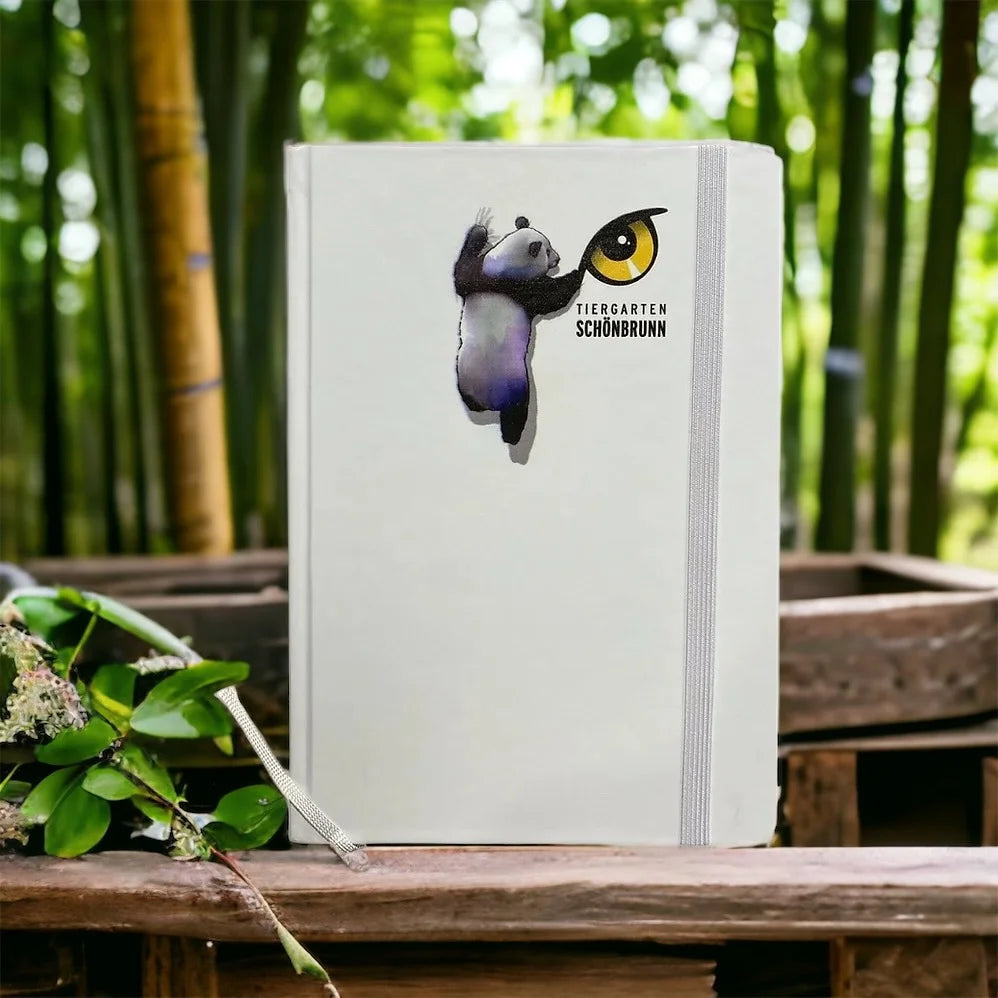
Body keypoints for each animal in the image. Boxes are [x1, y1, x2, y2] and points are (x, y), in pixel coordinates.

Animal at [453, 213, 584, 446]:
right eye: (547, 251)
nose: (558, 259)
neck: (503, 265)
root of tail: (489, 401)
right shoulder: (519, 287)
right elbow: (551, 298)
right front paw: (576, 273)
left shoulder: (478, 275)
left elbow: (461, 274)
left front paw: (479, 230)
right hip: (517, 384)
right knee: (516, 414)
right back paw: (512, 440)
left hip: (462, 376)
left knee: (468, 400)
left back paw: (475, 408)